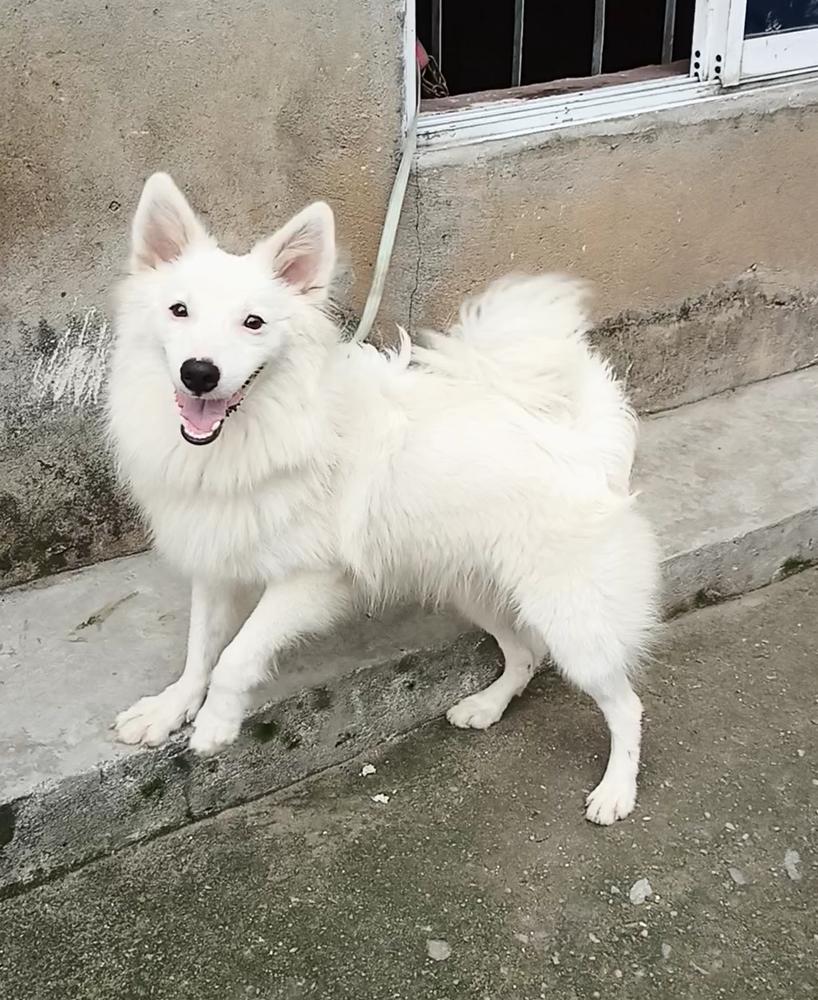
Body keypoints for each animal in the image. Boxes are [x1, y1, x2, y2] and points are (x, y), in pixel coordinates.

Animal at [108, 172, 660, 824]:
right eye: (179, 310)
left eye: (253, 323)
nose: (200, 372)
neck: (261, 432)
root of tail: (586, 444)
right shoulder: (217, 564)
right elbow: (200, 651)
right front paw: (170, 709)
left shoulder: (308, 582)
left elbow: (236, 656)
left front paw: (217, 723)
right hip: (475, 589)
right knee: (524, 654)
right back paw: (485, 707)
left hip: (574, 620)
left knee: (625, 704)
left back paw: (616, 790)